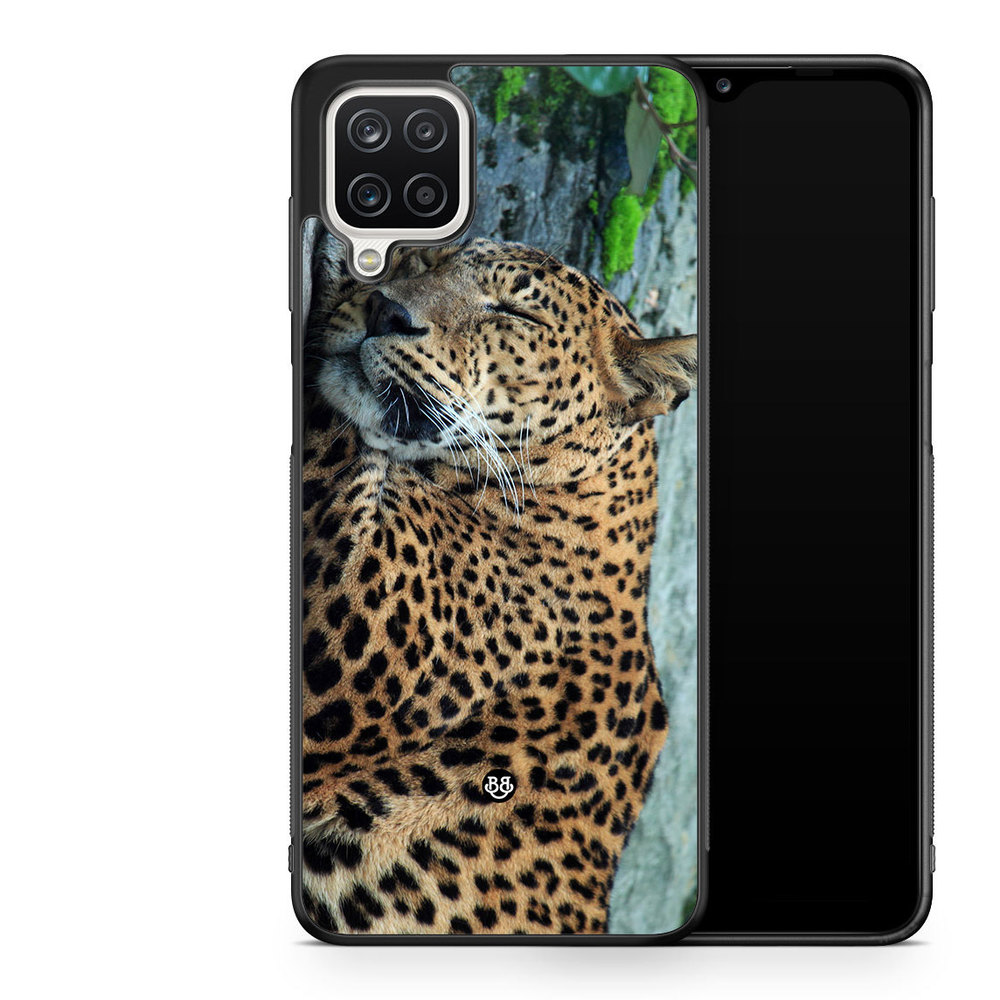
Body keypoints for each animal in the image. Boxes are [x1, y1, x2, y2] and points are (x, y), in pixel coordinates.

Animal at [299, 238, 696, 935]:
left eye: (515, 312)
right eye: (436, 264)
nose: (385, 310)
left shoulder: (351, 608)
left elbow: (331, 438)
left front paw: (340, 262)